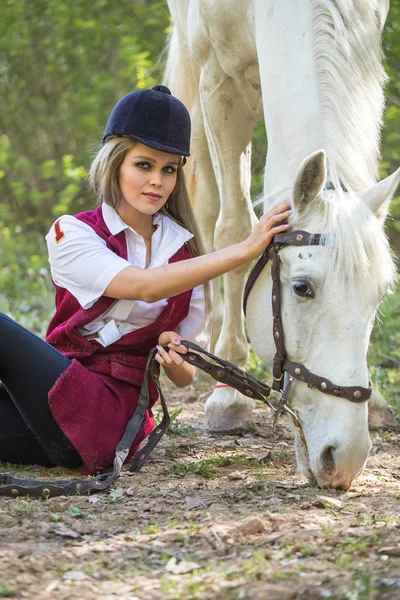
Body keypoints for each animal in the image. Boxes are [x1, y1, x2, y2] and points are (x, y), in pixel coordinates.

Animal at [164, 0, 398, 488]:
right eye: (302, 288)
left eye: (381, 295)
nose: (346, 456)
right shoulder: (221, 82)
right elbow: (234, 231)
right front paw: (228, 397)